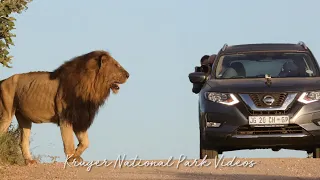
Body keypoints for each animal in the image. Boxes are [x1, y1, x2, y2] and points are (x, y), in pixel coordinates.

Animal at [0, 50, 129, 165]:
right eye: (116, 65)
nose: (128, 75)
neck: (92, 86)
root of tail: (3, 81)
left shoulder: (80, 118)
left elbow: (86, 142)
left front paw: (77, 154)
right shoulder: (66, 117)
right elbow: (69, 141)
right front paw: (72, 157)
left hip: (24, 118)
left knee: (23, 141)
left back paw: (29, 161)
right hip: (7, 113)